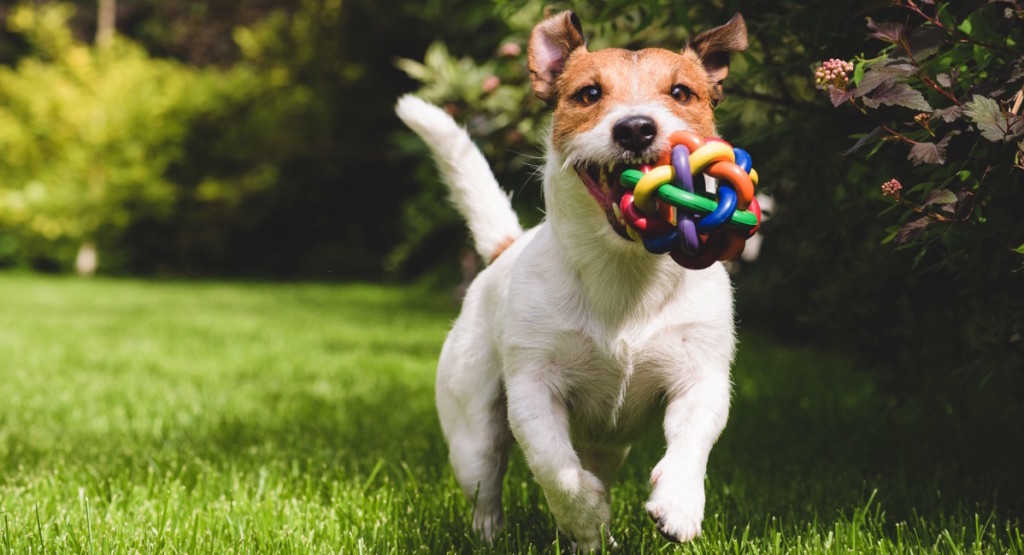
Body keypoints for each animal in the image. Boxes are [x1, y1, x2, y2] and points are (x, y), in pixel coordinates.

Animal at [395, 9, 749, 552]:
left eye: (681, 92)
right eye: (589, 93)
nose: (636, 128)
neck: (624, 270)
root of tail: (505, 248)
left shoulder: (701, 375)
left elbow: (693, 440)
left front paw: (679, 504)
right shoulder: (532, 388)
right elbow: (553, 466)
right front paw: (583, 513)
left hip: (610, 444)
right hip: (472, 429)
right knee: (487, 483)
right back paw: (497, 532)